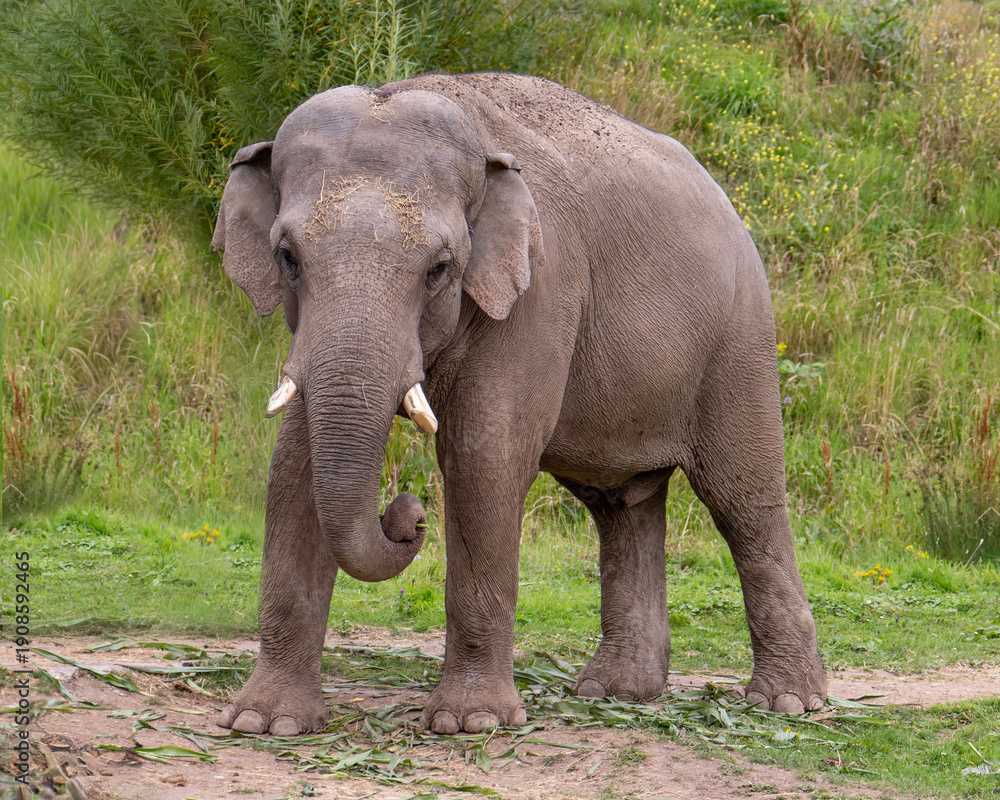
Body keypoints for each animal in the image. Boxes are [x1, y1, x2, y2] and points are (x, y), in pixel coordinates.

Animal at [211, 72, 827, 736]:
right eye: (288, 257)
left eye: (441, 268)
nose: (408, 513)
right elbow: (293, 469)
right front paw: (263, 723)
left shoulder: (541, 288)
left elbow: (486, 462)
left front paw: (470, 724)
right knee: (623, 505)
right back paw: (614, 692)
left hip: (741, 339)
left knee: (742, 499)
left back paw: (787, 703)